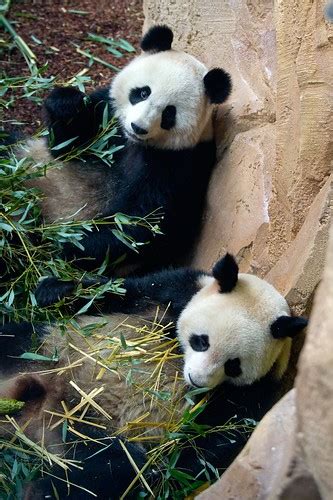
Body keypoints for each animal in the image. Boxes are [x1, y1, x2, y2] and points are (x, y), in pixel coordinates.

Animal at [0, 256, 306, 498]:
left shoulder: (254, 393)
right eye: (201, 341)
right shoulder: (177, 289)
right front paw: (53, 289)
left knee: (101, 471)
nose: (196, 380)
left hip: (87, 435)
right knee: (15, 340)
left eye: (233, 366)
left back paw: (39, 490)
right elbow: (120, 292)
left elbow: (207, 444)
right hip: (47, 351)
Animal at [7, 24, 231, 278]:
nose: (138, 127)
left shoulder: (180, 164)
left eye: (169, 113)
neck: (134, 143)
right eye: (143, 93)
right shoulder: (108, 117)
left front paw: (66, 246)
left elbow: (142, 223)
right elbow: (66, 147)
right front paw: (66, 104)